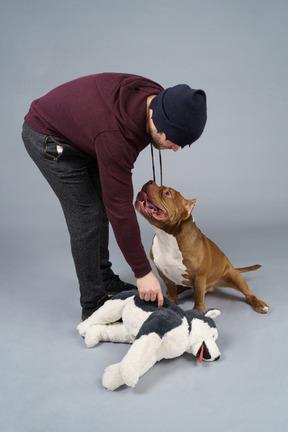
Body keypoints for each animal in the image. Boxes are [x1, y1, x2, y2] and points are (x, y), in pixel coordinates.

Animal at [136, 181, 268, 316]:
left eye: (167, 193)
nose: (150, 181)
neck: (167, 237)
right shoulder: (163, 272)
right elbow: (170, 287)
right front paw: (171, 301)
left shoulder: (199, 276)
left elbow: (198, 295)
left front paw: (198, 311)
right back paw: (178, 289)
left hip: (234, 276)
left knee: (248, 294)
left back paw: (259, 304)